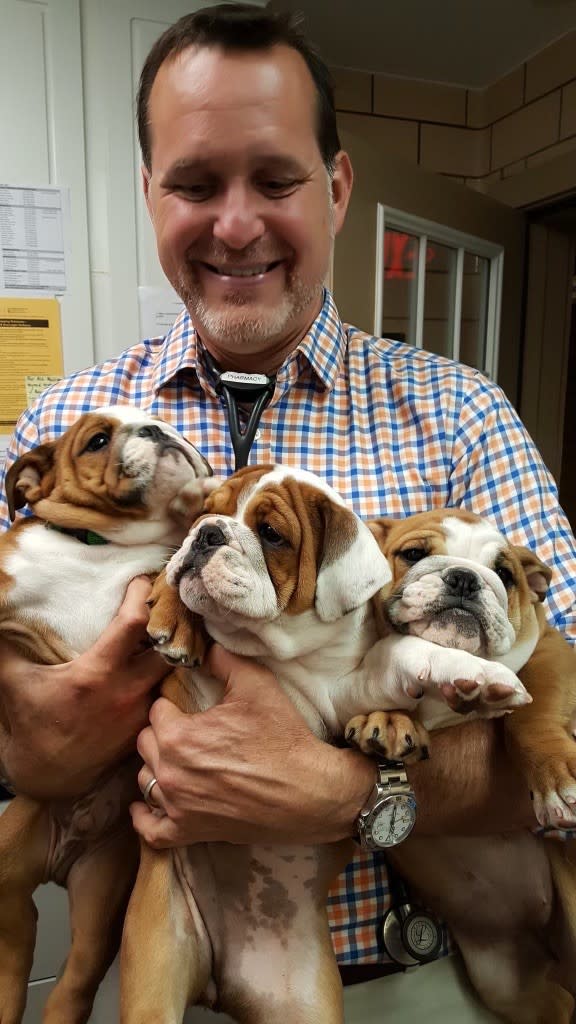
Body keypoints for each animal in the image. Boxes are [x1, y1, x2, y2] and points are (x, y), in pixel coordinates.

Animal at [0, 407, 212, 1024]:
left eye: (159, 419)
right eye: (97, 440)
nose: (159, 431)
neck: (104, 546)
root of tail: (60, 852)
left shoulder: (152, 567)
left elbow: (176, 565)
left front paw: (178, 618)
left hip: (98, 895)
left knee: (65, 977)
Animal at [123, 466, 532, 1024]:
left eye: (271, 534)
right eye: (206, 511)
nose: (207, 533)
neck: (272, 646)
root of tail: (216, 981)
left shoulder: (341, 697)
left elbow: (401, 650)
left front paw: (479, 676)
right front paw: (175, 615)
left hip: (304, 1002)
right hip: (154, 961)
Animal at [344, 509, 576, 1024]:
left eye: (505, 574)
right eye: (413, 554)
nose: (465, 579)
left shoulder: (552, 651)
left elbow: (532, 713)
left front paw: (556, 778)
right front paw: (388, 718)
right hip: (510, 986)